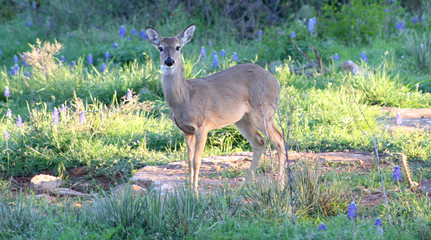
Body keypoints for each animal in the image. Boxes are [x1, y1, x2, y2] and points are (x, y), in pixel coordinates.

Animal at [146, 23, 286, 193]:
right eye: (160, 48)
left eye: (178, 47)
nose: (169, 61)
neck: (186, 97)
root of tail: (276, 81)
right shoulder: (186, 130)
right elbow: (188, 161)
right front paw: (188, 191)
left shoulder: (203, 125)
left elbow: (196, 161)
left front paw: (195, 193)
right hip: (241, 119)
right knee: (259, 141)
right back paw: (246, 185)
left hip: (263, 111)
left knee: (279, 139)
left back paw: (280, 186)